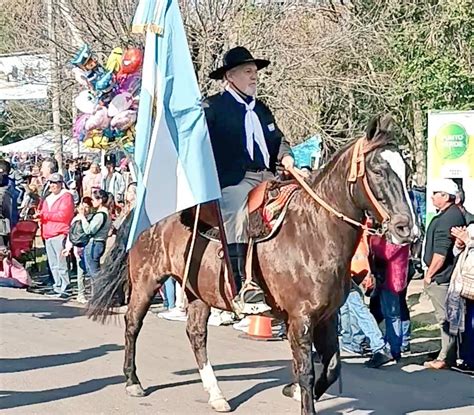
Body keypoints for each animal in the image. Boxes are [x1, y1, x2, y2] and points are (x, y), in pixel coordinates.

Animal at [87, 114, 416, 415]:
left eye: (407, 170)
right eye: (378, 169)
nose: (406, 229)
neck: (313, 232)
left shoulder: (326, 317)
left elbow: (331, 367)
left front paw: (292, 389)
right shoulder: (301, 318)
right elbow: (307, 371)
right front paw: (301, 392)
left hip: (198, 293)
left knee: (196, 335)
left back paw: (216, 395)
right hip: (146, 282)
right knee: (133, 325)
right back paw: (133, 381)